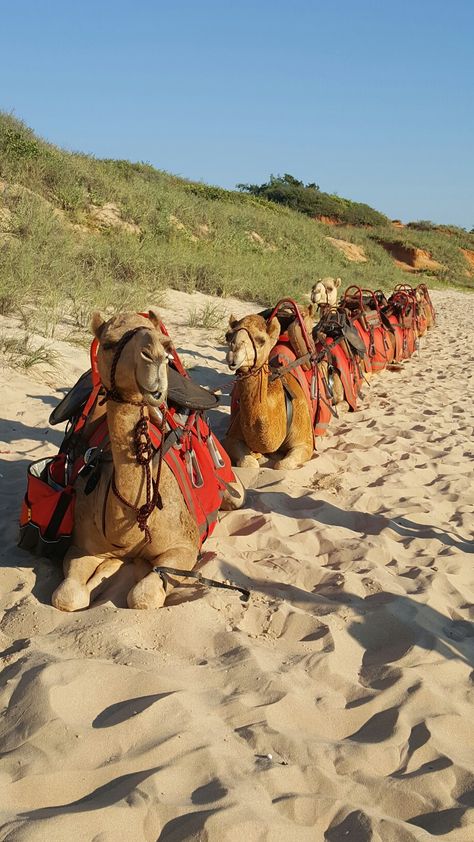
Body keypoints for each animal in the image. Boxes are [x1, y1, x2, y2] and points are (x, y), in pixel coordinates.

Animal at [52, 308, 244, 612]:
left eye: (166, 345)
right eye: (108, 343)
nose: (154, 355)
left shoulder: (183, 547)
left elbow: (142, 596)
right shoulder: (81, 546)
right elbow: (66, 597)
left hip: (232, 484)